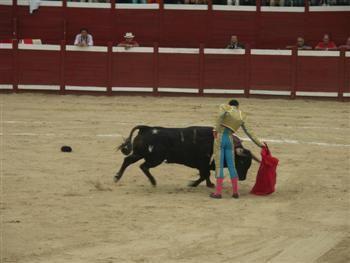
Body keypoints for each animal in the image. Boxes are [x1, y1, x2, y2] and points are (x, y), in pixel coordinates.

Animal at [113, 126, 253, 188]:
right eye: (242, 162)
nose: (242, 178)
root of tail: (146, 128)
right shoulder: (203, 163)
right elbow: (204, 175)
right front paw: (194, 183)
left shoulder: (204, 164)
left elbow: (205, 175)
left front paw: (209, 184)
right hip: (155, 159)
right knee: (143, 166)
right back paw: (153, 182)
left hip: (140, 154)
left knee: (128, 160)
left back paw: (117, 177)